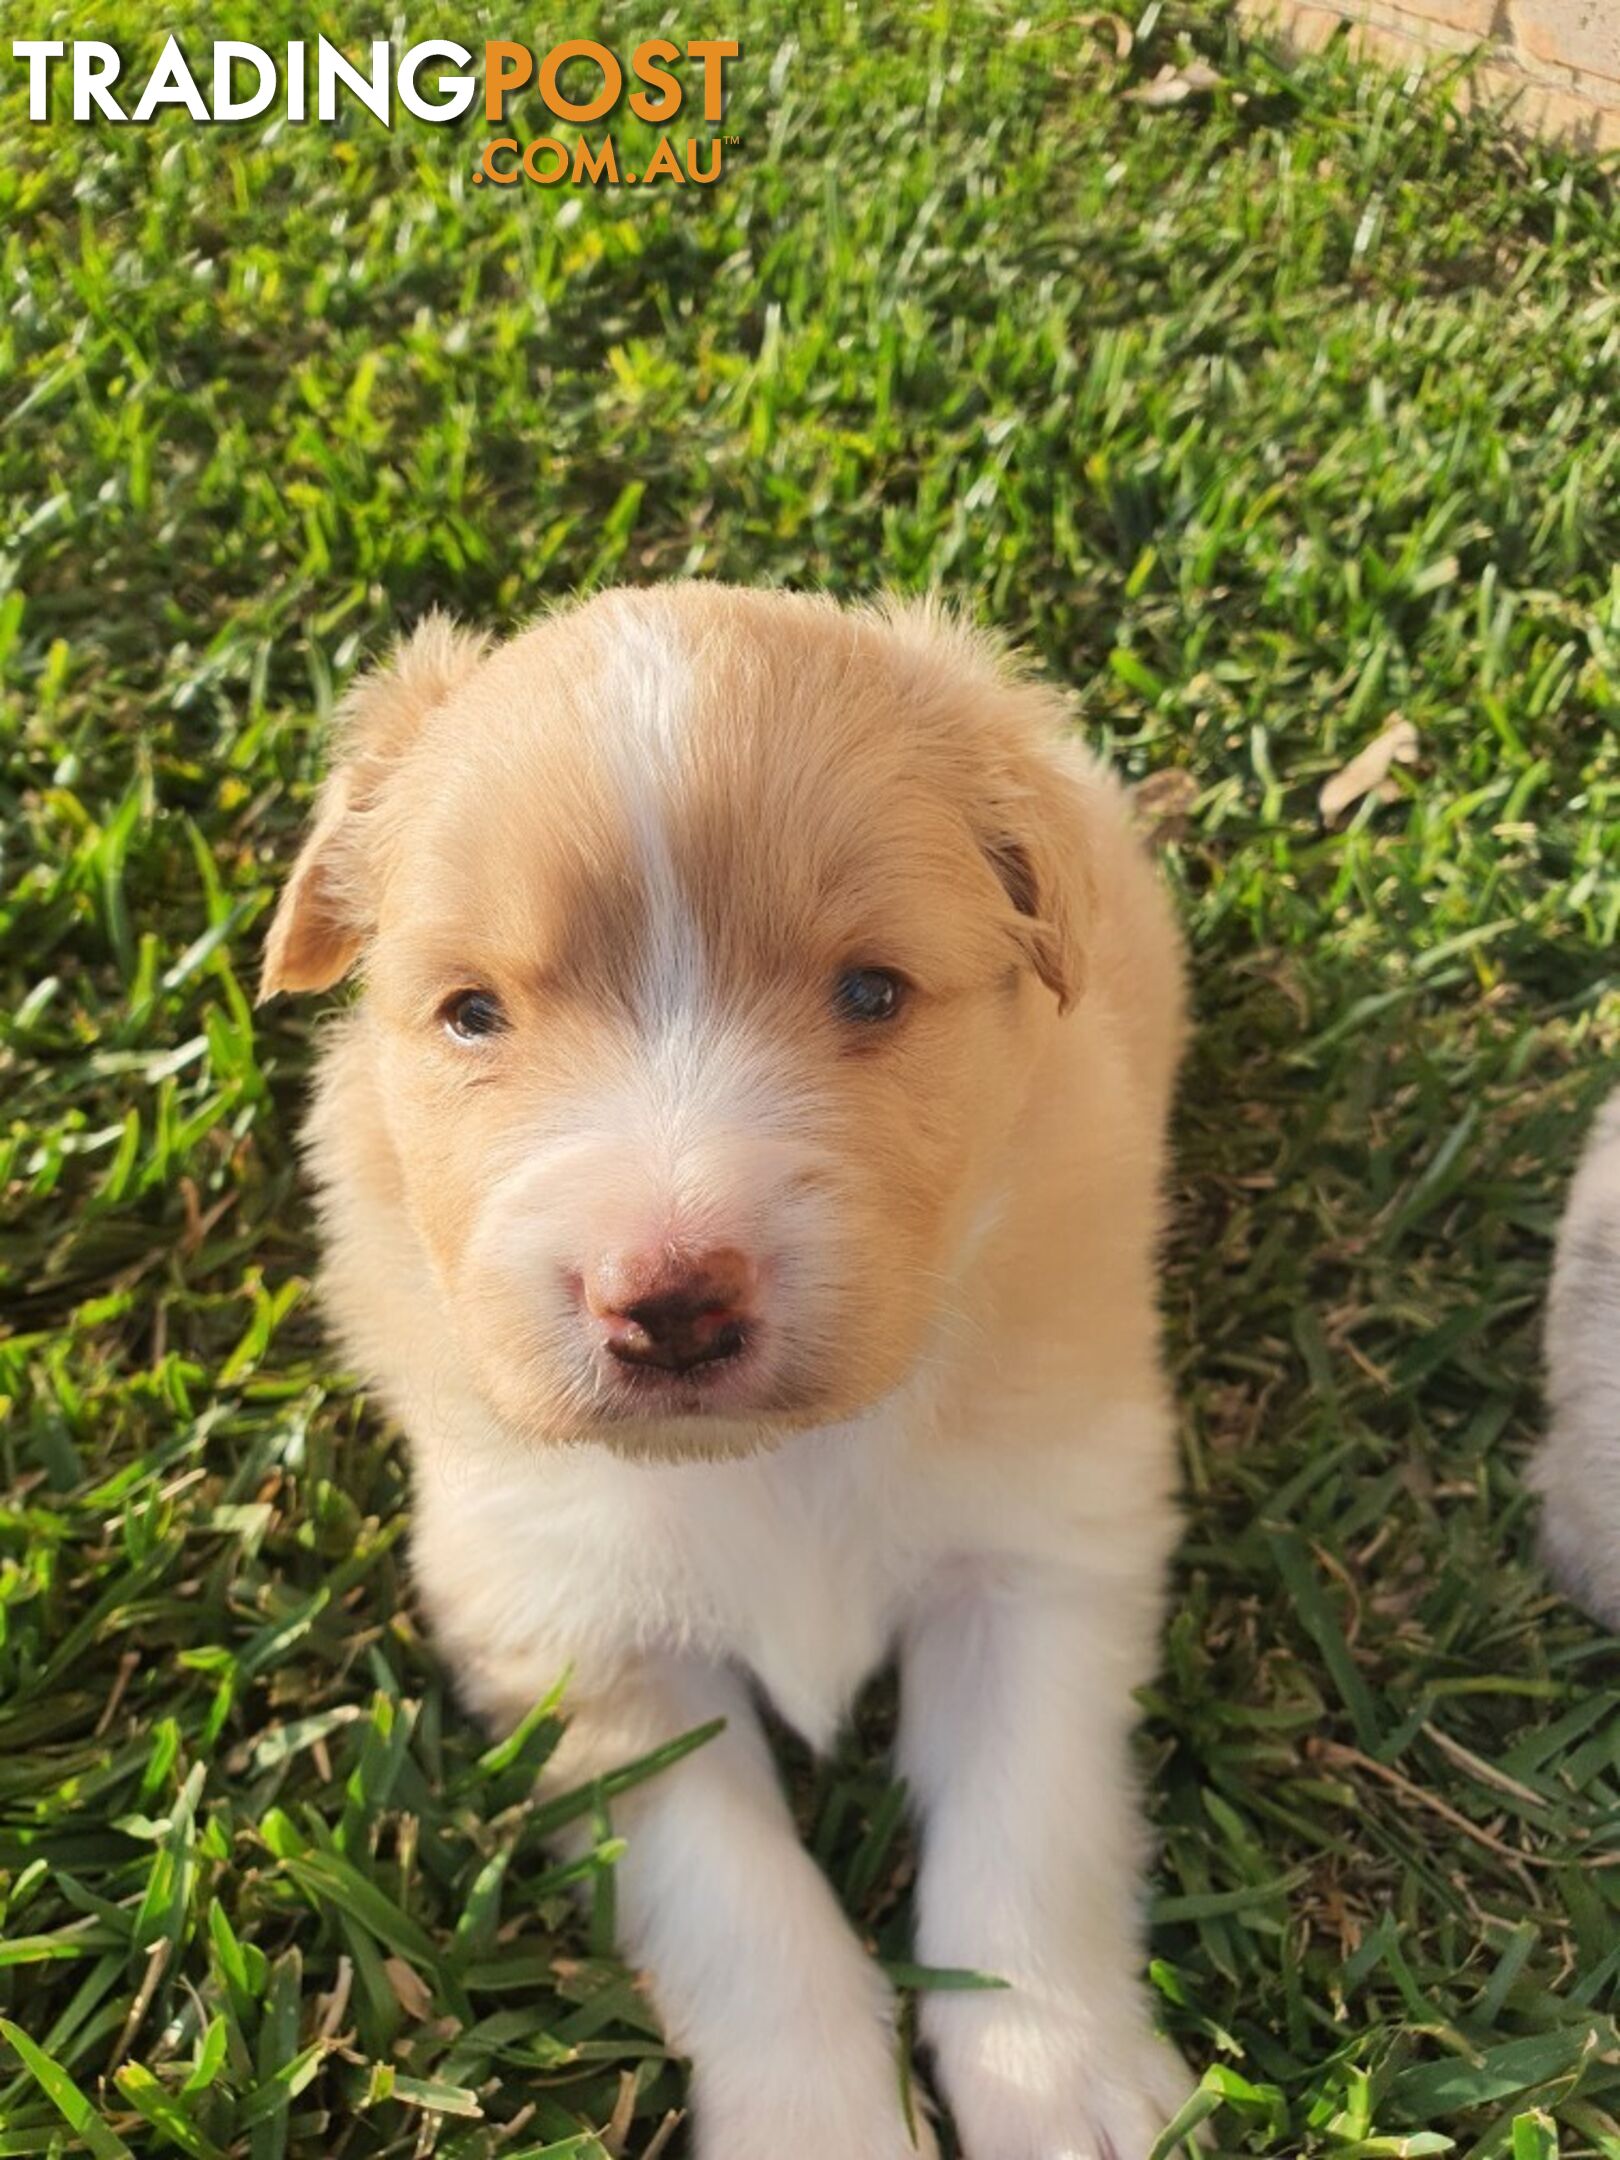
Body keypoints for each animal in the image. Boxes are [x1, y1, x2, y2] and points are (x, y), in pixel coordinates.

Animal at [263, 587, 1192, 2160]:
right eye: (471, 1014)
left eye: (873, 990)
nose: (670, 1304)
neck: (771, 1464)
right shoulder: (578, 1632)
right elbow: (740, 1908)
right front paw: (828, 2125)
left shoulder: (1041, 1549)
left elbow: (1027, 1838)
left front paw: (1063, 2088)